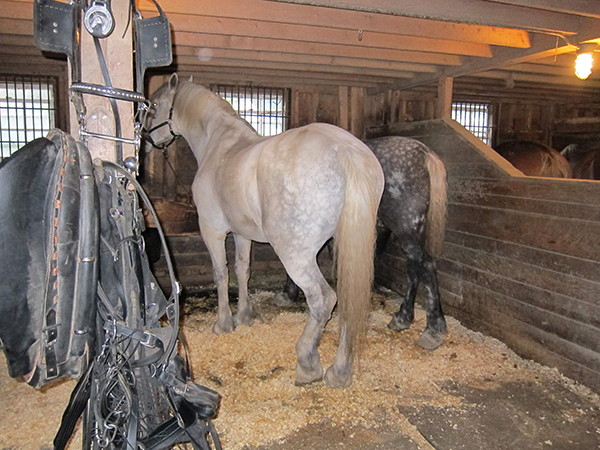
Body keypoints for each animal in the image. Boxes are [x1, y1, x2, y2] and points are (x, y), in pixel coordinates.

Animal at [144, 73, 384, 386]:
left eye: (154, 105)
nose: (144, 141)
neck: (218, 143)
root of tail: (344, 149)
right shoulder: (242, 233)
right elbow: (242, 269)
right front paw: (245, 316)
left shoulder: (212, 231)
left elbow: (221, 273)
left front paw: (223, 323)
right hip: (346, 251)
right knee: (346, 302)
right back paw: (340, 371)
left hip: (295, 254)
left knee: (323, 299)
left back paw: (308, 362)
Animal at [274, 135, 448, 350]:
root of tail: (424, 153)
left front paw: (288, 294)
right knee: (415, 269)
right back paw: (406, 318)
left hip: (406, 228)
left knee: (426, 266)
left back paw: (430, 330)